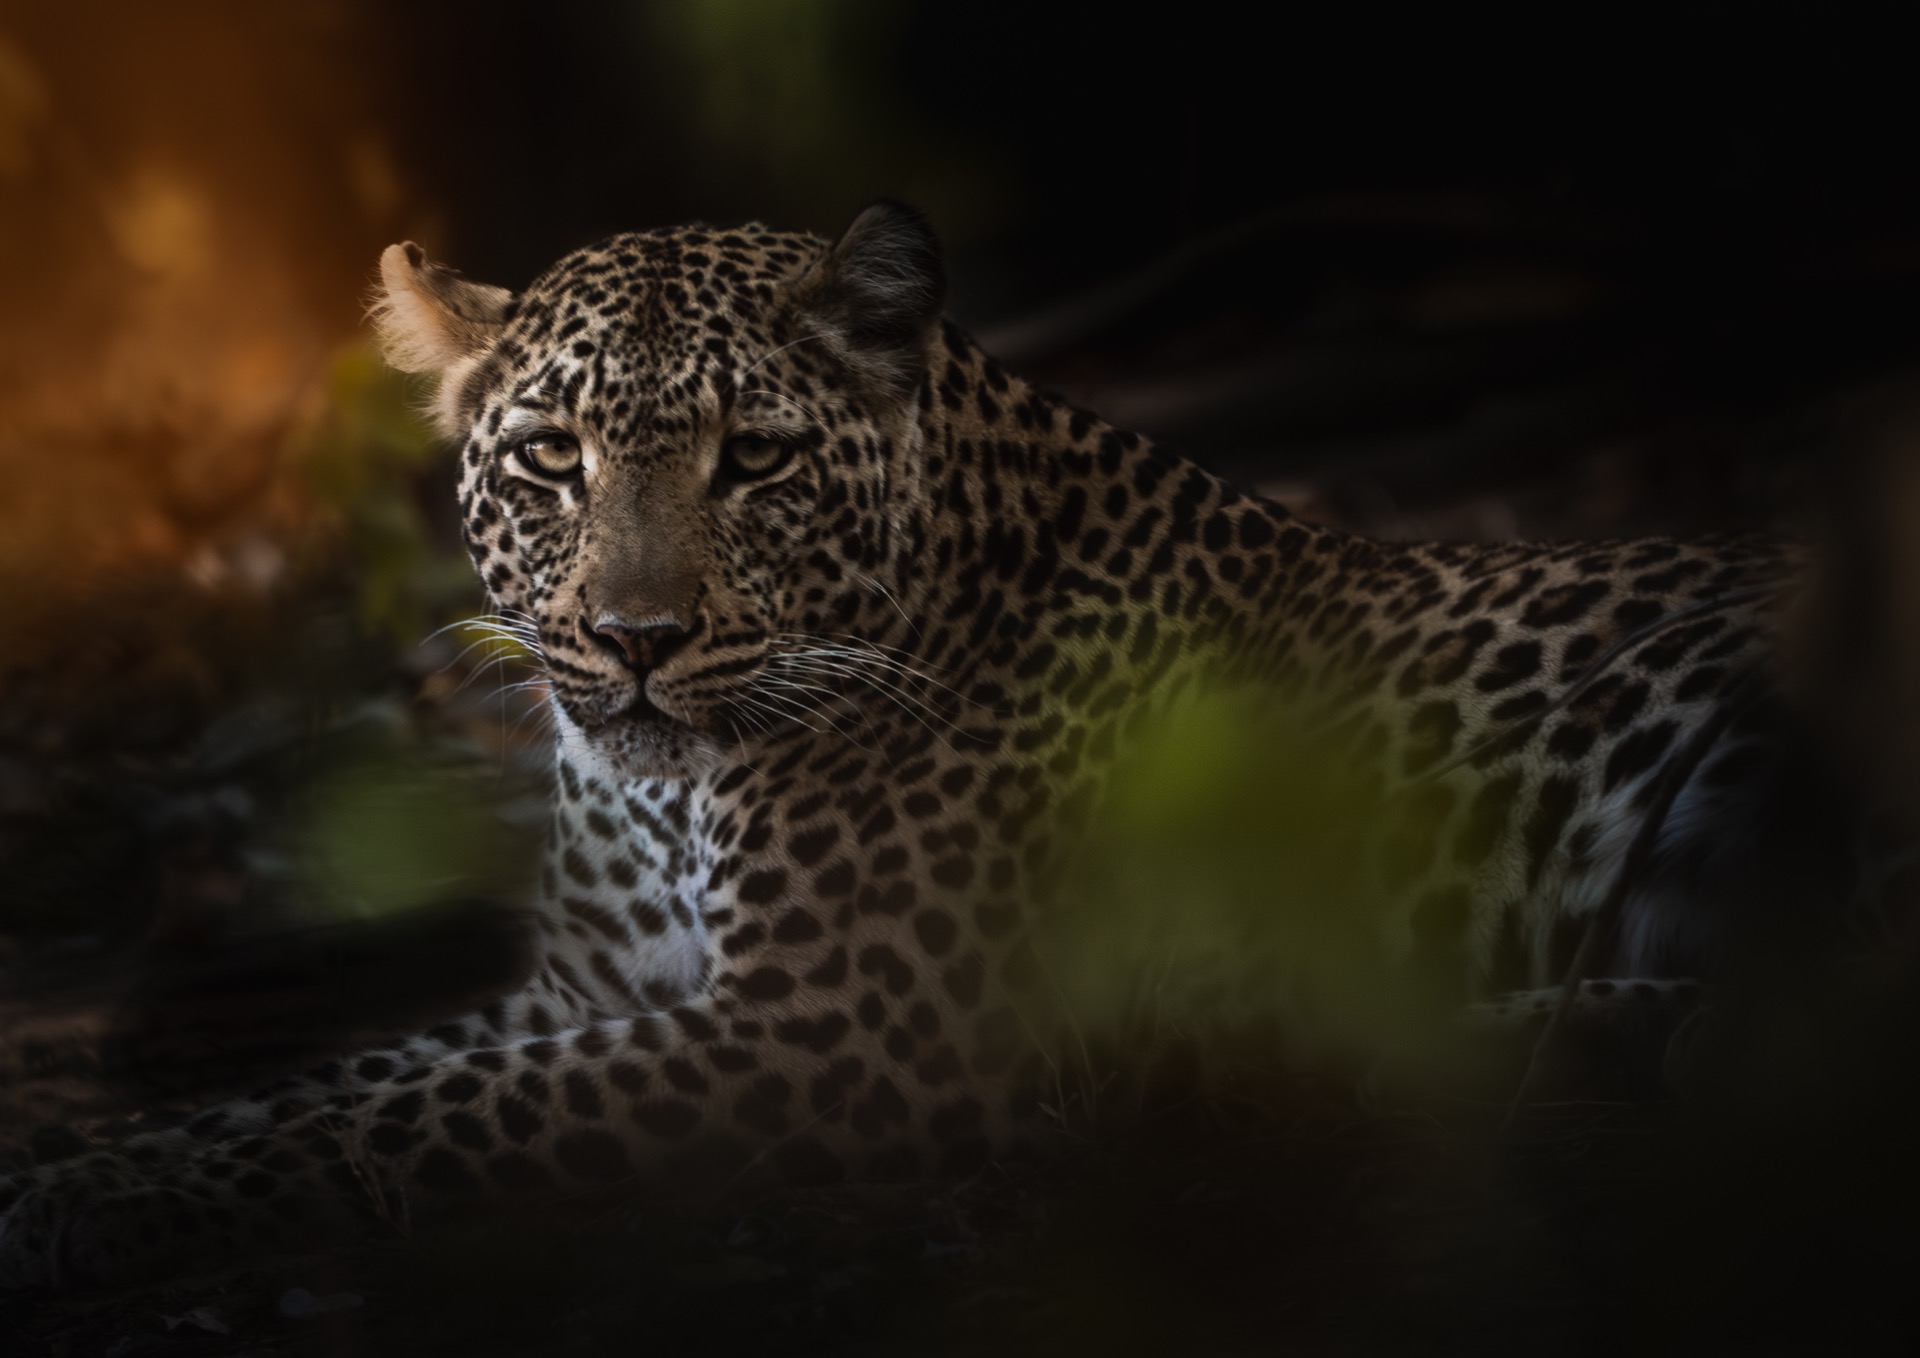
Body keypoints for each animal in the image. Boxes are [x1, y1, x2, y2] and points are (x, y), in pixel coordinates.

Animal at [0, 201, 1837, 1290]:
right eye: (548, 459)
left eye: (752, 458)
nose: (637, 639)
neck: (664, 799)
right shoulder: (582, 993)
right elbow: (356, 1076)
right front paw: (109, 1156)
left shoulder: (828, 1037)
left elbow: (402, 1119)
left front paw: (96, 1206)